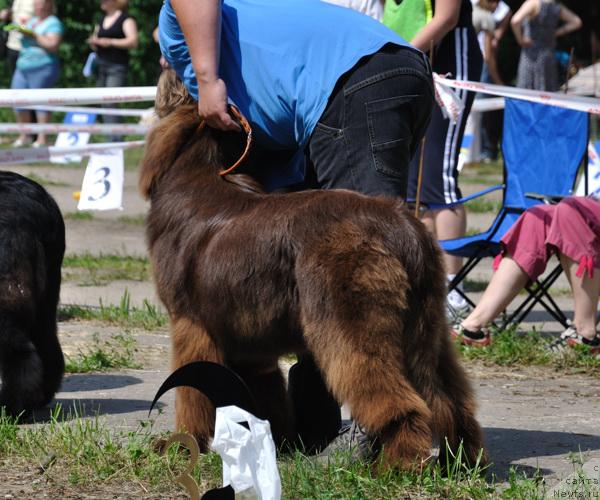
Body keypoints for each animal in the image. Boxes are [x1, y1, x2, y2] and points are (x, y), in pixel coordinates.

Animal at [139, 89, 482, 468]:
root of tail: (402, 226)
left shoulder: (191, 323)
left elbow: (192, 392)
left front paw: (181, 445)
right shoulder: (249, 336)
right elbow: (266, 395)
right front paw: (275, 443)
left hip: (350, 321)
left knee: (397, 399)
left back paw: (396, 465)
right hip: (425, 324)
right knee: (447, 397)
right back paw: (462, 460)